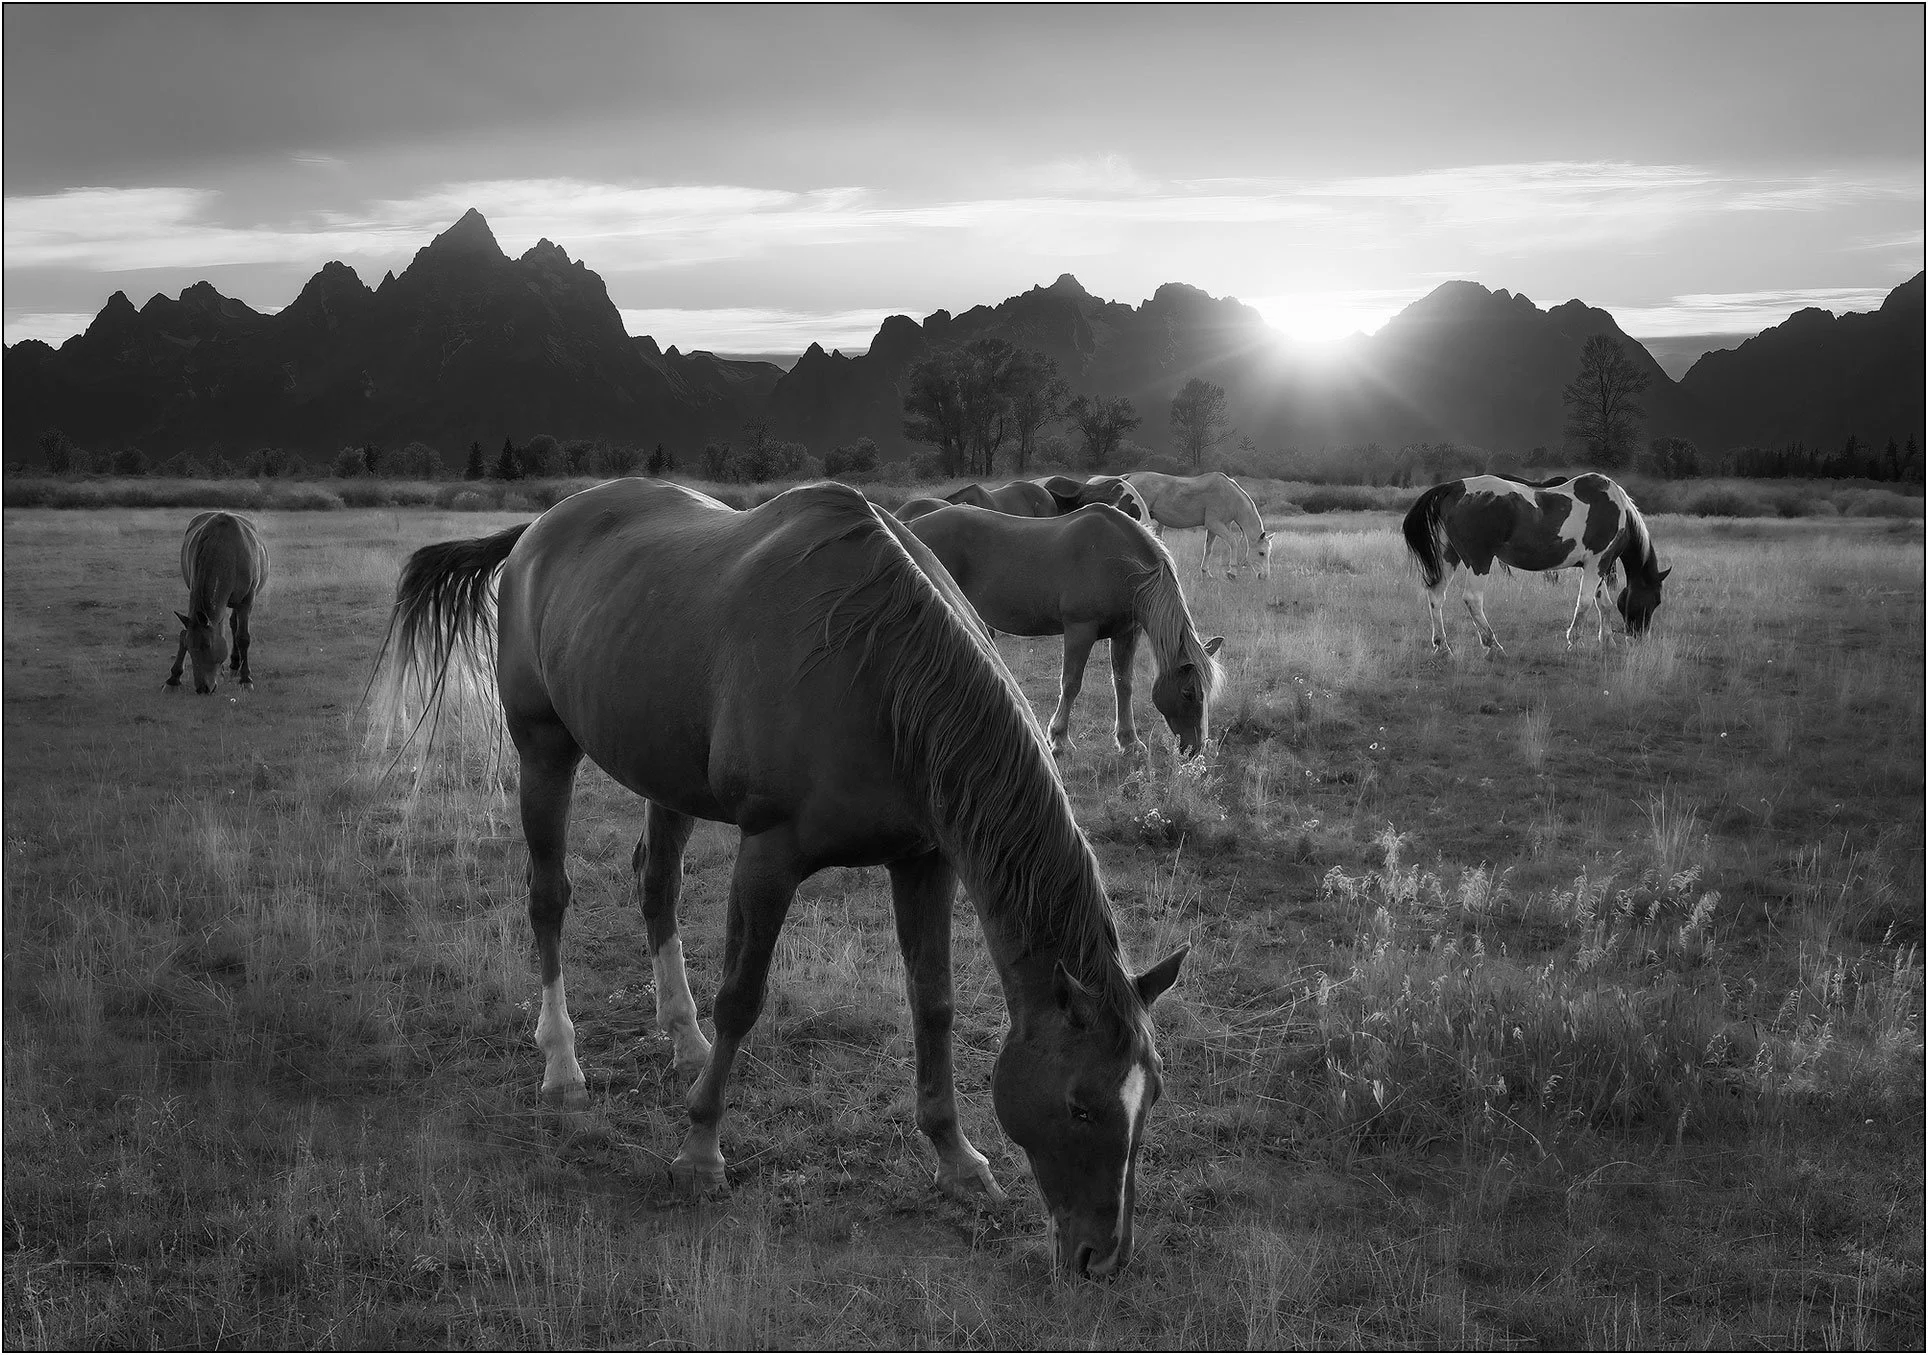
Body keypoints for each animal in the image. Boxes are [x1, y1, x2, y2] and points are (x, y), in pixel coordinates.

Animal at [166, 511, 269, 693]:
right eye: (190, 648)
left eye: (207, 645)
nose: (203, 688)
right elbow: (185, 632)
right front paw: (173, 678)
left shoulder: (246, 600)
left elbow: (243, 637)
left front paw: (246, 679)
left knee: (235, 625)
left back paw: (236, 665)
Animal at [370, 478, 1187, 1277]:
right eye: (1081, 1104)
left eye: (1150, 1098)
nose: (1102, 1257)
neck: (879, 671)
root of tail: (538, 529)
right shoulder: (769, 856)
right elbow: (742, 998)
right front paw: (700, 1154)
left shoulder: (924, 861)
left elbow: (934, 1004)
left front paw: (956, 1158)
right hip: (544, 749)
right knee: (549, 900)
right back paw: (562, 1064)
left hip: (663, 776)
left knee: (657, 886)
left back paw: (684, 1037)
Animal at [905, 504, 1224, 756]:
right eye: (1188, 693)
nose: (1196, 749)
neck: (1119, 562)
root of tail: (909, 527)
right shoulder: (1079, 630)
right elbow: (1070, 684)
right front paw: (1058, 740)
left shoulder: (1126, 632)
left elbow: (1124, 684)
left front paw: (1129, 741)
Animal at [1124, 471, 1272, 578]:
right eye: (1261, 553)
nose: (1264, 576)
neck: (1230, 496)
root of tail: (1129, 477)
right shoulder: (1215, 524)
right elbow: (1233, 542)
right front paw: (1232, 573)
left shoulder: (1216, 528)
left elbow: (1209, 548)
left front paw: (1206, 572)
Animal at [1401, 472, 1670, 655]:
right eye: (1655, 600)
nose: (1639, 637)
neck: (1617, 508)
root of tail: (1454, 487)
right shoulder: (1596, 564)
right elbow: (1584, 603)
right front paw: (1575, 641)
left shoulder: (1599, 565)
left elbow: (1603, 603)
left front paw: (1607, 641)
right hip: (1479, 561)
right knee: (1472, 599)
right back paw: (1493, 645)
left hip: (1449, 558)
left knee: (1436, 596)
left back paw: (1442, 646)